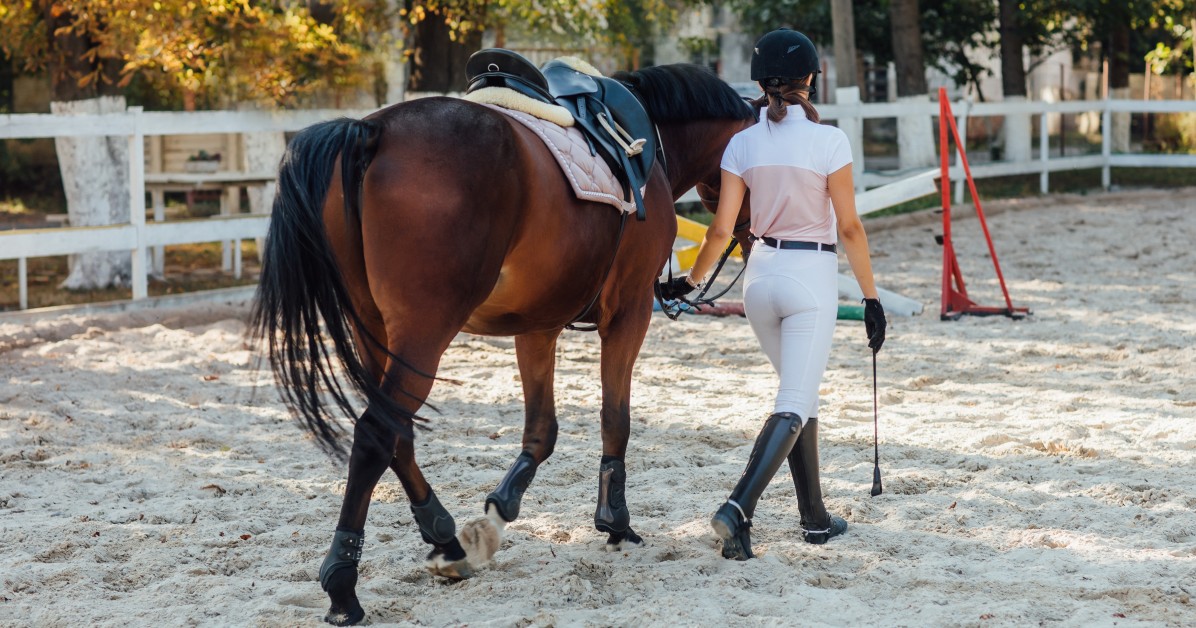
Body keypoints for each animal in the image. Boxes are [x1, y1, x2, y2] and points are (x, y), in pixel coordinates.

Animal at [250, 63, 756, 625]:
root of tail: (372, 131)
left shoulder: (537, 326)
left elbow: (542, 432)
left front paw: (502, 507)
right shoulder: (628, 315)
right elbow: (614, 419)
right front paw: (615, 521)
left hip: (375, 332)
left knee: (396, 434)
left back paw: (445, 538)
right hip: (424, 332)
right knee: (375, 435)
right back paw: (343, 583)